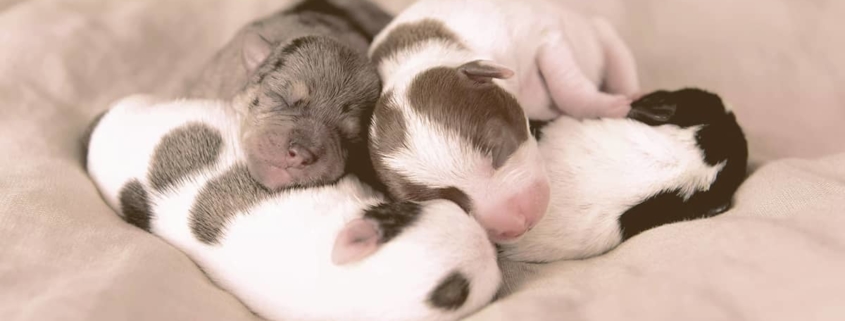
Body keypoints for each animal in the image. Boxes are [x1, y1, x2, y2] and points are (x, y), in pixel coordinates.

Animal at [366, 0, 636, 242]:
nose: (518, 224)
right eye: (450, 200)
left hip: (602, 33)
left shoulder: (541, 35)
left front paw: (608, 106)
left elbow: (565, 85)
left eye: (497, 149)